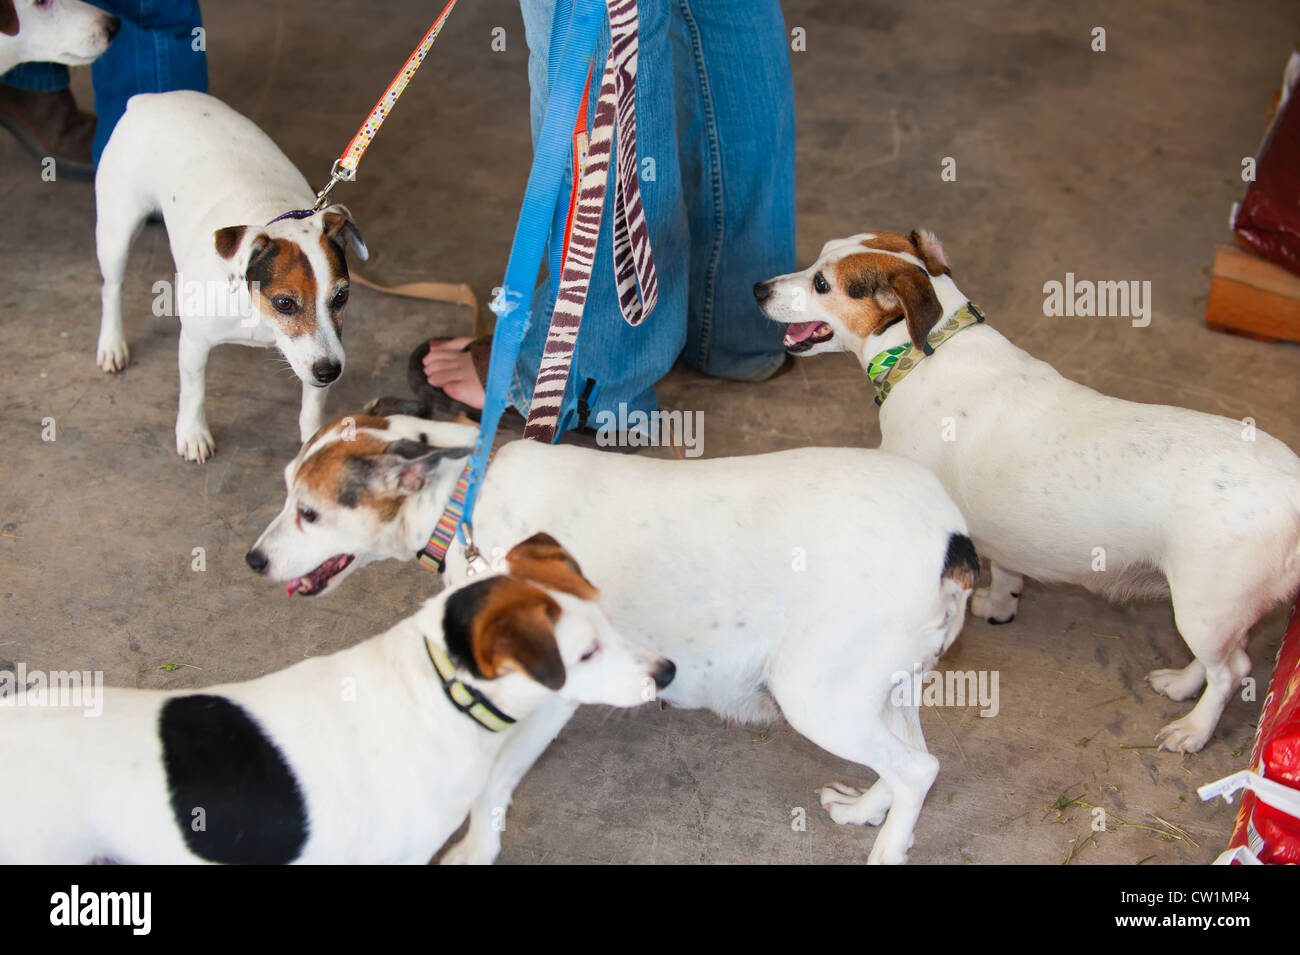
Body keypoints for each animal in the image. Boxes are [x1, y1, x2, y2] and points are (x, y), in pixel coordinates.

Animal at [244, 402, 977, 867]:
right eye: (286, 494)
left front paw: (475, 849)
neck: (467, 499)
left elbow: (491, 785)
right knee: (915, 760)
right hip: (881, 686)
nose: (252, 560)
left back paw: (884, 850)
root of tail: (953, 535)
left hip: (815, 694)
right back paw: (866, 812)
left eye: (309, 513)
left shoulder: (549, 696)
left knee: (917, 768)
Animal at [754, 231, 1300, 753]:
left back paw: (1193, 729)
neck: (925, 352)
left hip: (1204, 607)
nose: (758, 288)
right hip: (1208, 611)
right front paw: (999, 605)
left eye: (822, 283)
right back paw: (1182, 684)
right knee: (1219, 660)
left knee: (1233, 670)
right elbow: (1007, 573)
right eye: (820, 255)